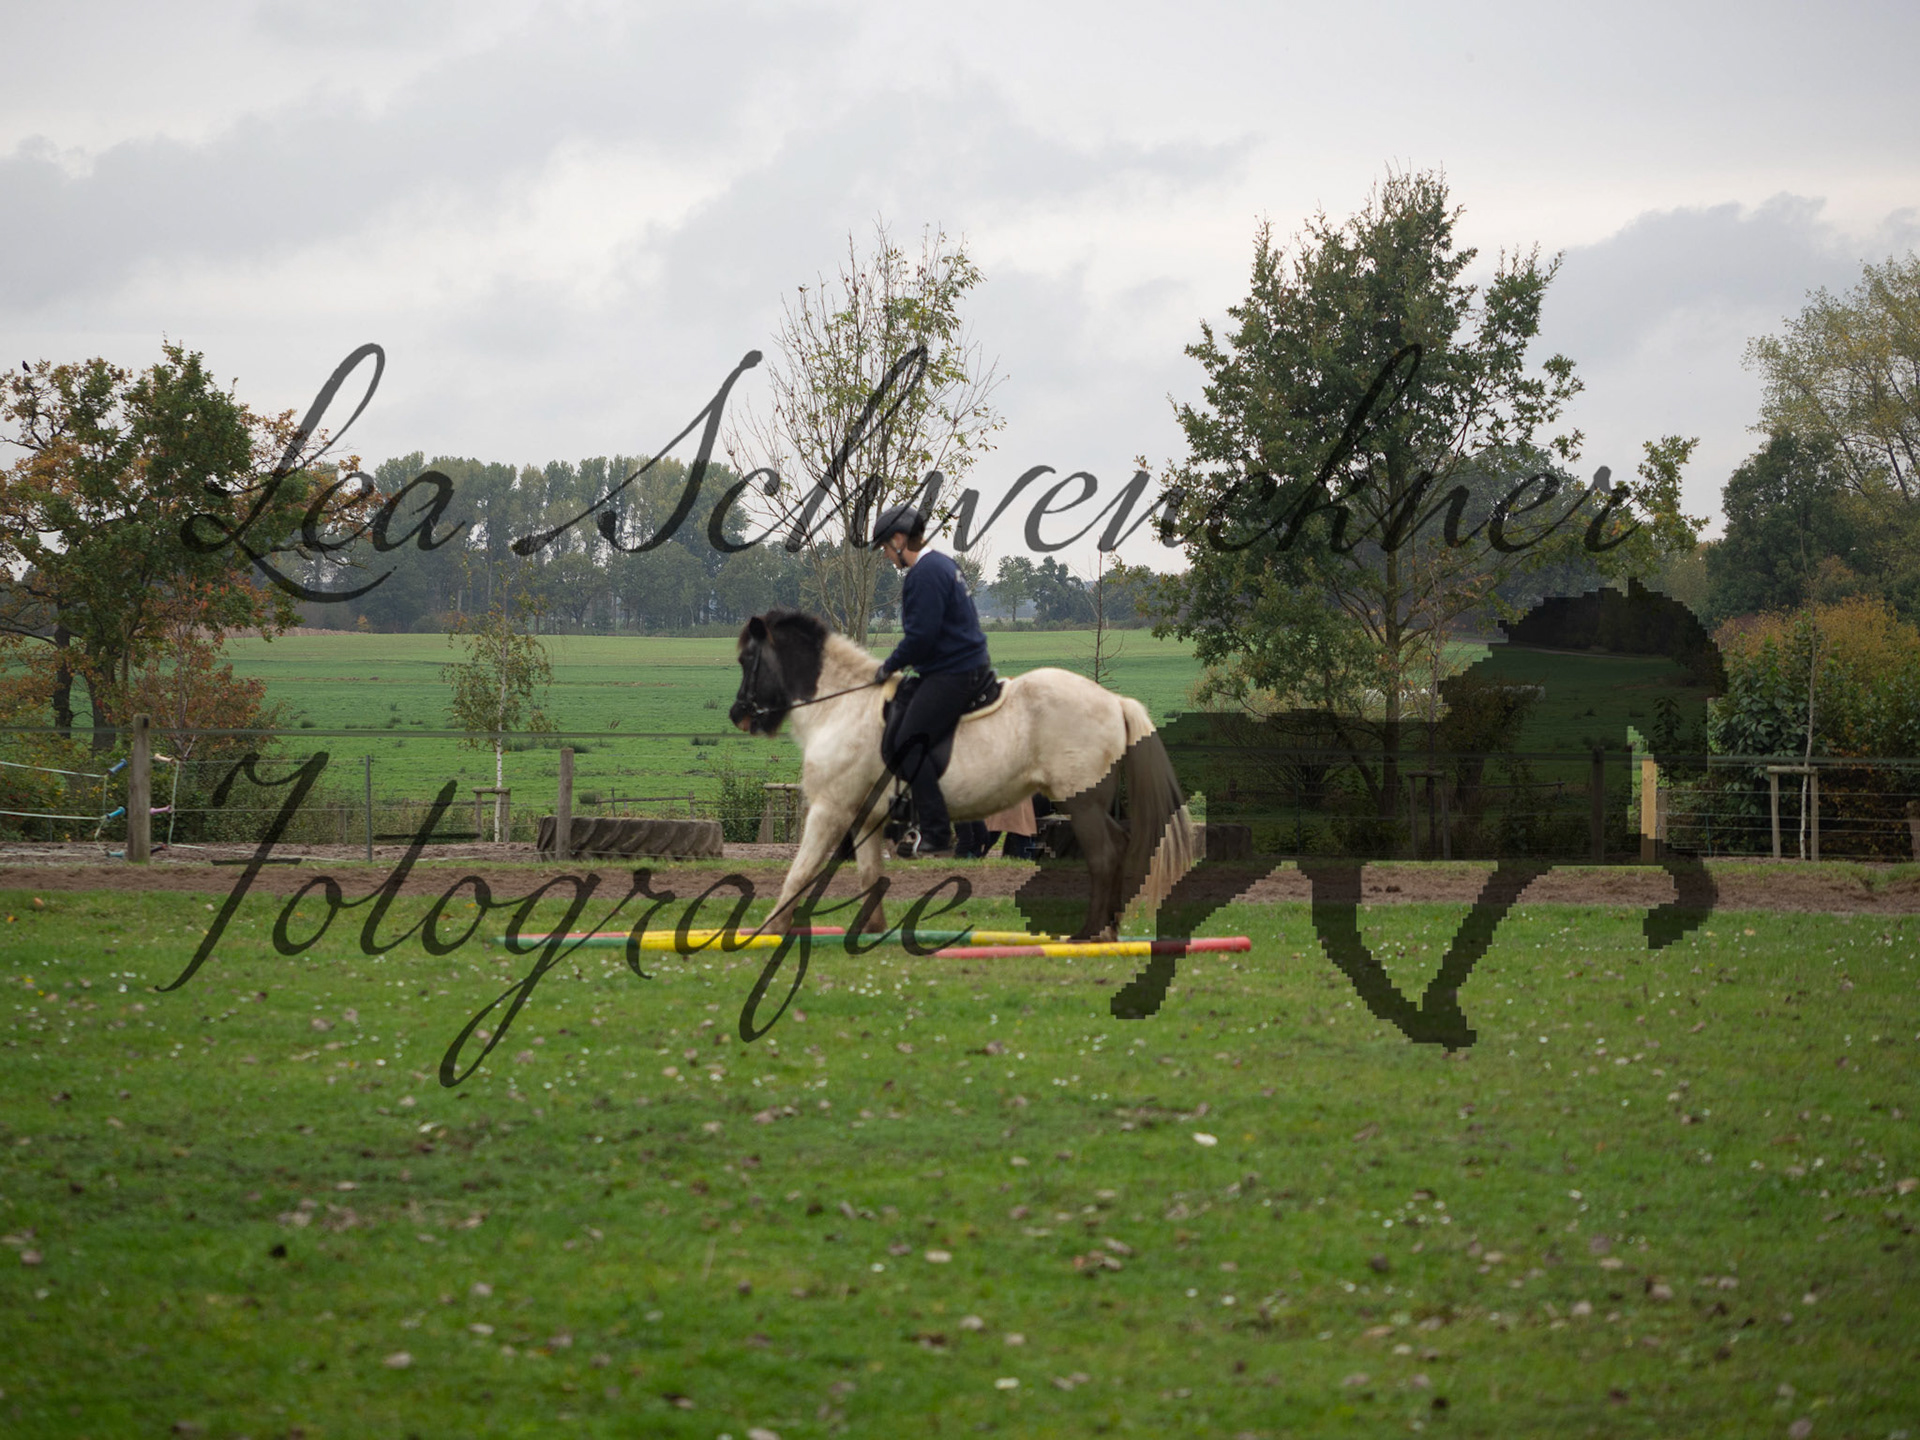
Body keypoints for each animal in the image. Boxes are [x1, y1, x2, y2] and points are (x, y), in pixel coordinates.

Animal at [728, 609, 1196, 938]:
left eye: (747, 659)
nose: (739, 715)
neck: (841, 706)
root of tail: (1114, 702)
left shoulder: (830, 808)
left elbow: (800, 871)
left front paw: (771, 928)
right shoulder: (865, 815)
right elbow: (868, 875)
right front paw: (873, 931)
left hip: (1081, 802)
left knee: (1105, 855)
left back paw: (1090, 933)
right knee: (1117, 848)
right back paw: (1109, 930)